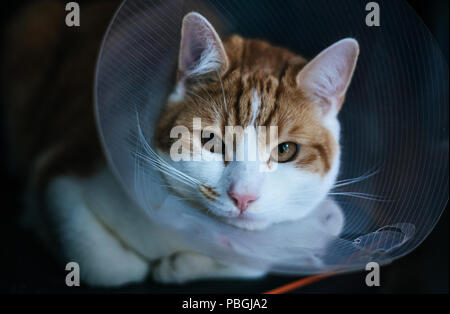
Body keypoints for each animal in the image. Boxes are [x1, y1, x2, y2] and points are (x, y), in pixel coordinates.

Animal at [1, 1, 356, 288]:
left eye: (285, 150)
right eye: (211, 141)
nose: (243, 197)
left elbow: (262, 258)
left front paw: (180, 266)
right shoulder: (63, 171)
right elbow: (109, 266)